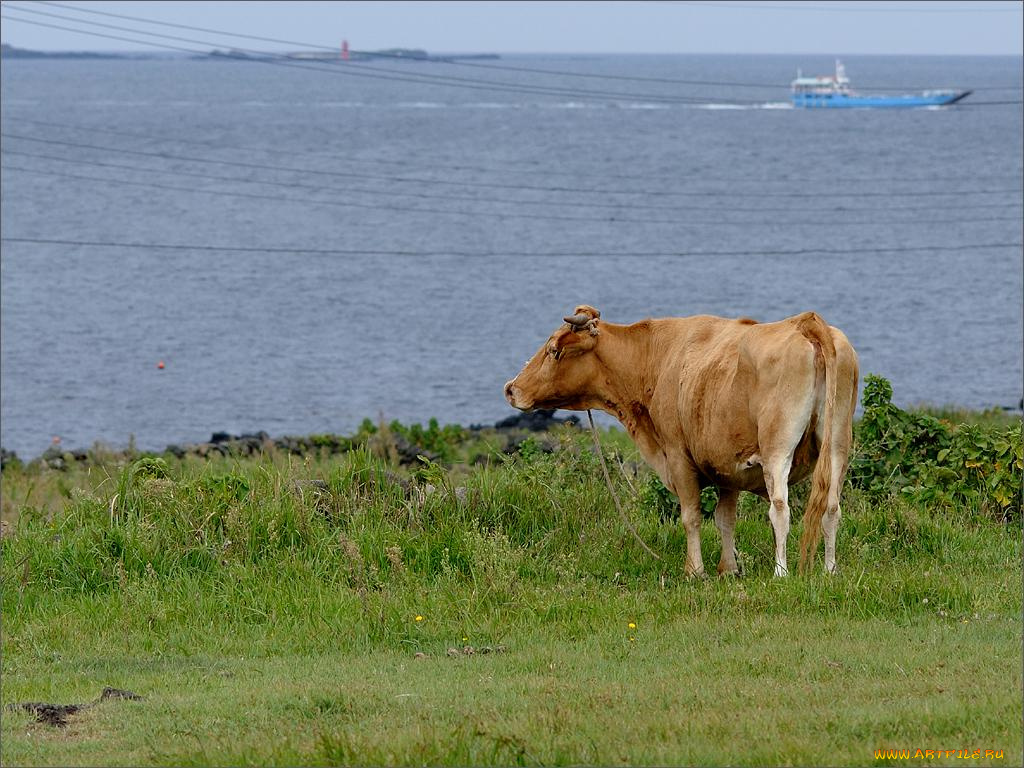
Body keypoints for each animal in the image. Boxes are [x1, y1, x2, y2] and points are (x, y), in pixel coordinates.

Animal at [503, 307, 856, 577]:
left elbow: (691, 516)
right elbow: (725, 519)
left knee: (780, 509)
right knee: (831, 507)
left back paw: (780, 573)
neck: (656, 357)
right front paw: (728, 569)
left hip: (777, 448)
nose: (511, 388)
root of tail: (806, 322)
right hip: (838, 444)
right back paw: (830, 570)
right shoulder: (726, 463)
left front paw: (695, 571)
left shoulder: (677, 455)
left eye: (554, 350)